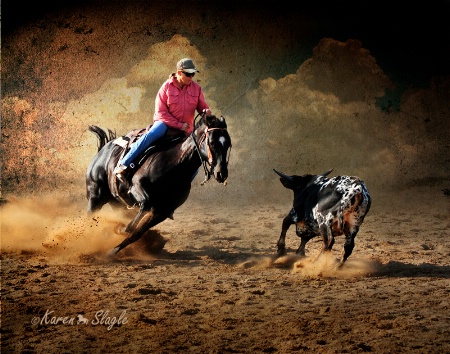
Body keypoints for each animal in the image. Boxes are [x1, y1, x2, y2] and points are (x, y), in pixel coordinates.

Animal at [85, 115, 232, 256]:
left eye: (228, 144)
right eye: (212, 142)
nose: (221, 173)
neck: (174, 166)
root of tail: (103, 150)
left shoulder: (163, 211)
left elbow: (137, 233)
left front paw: (113, 250)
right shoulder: (138, 188)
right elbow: (141, 211)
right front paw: (120, 229)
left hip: (117, 203)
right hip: (95, 195)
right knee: (89, 216)